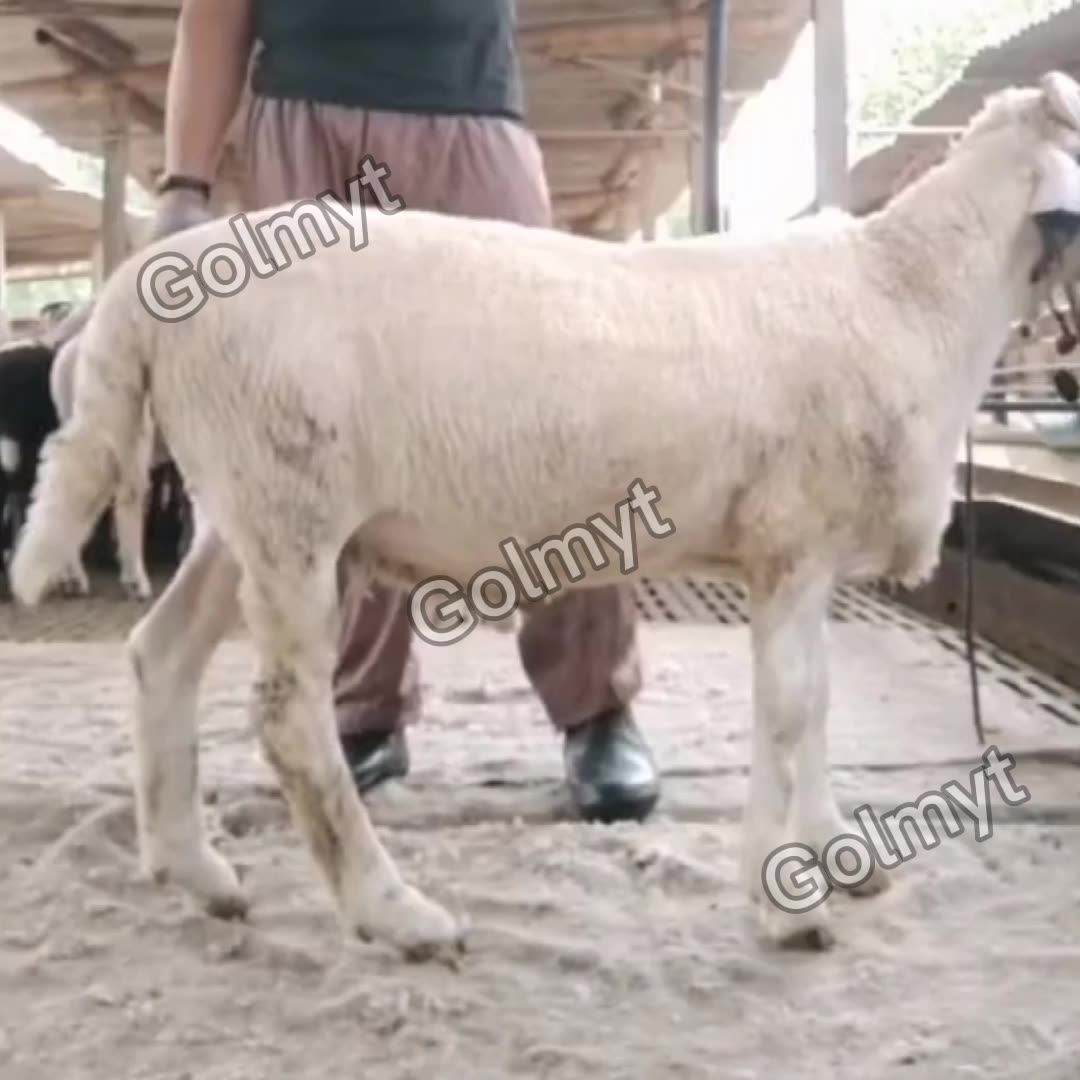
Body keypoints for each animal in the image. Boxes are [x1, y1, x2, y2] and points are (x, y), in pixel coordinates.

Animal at [10, 71, 1080, 962]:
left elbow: (813, 710)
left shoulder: (802, 558)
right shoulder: (791, 536)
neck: (909, 287)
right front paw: (787, 905)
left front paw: (834, 859)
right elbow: (785, 713)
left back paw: (194, 870)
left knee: (161, 656)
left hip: (242, 510)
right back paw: (394, 913)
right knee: (288, 721)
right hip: (290, 503)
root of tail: (146, 291)